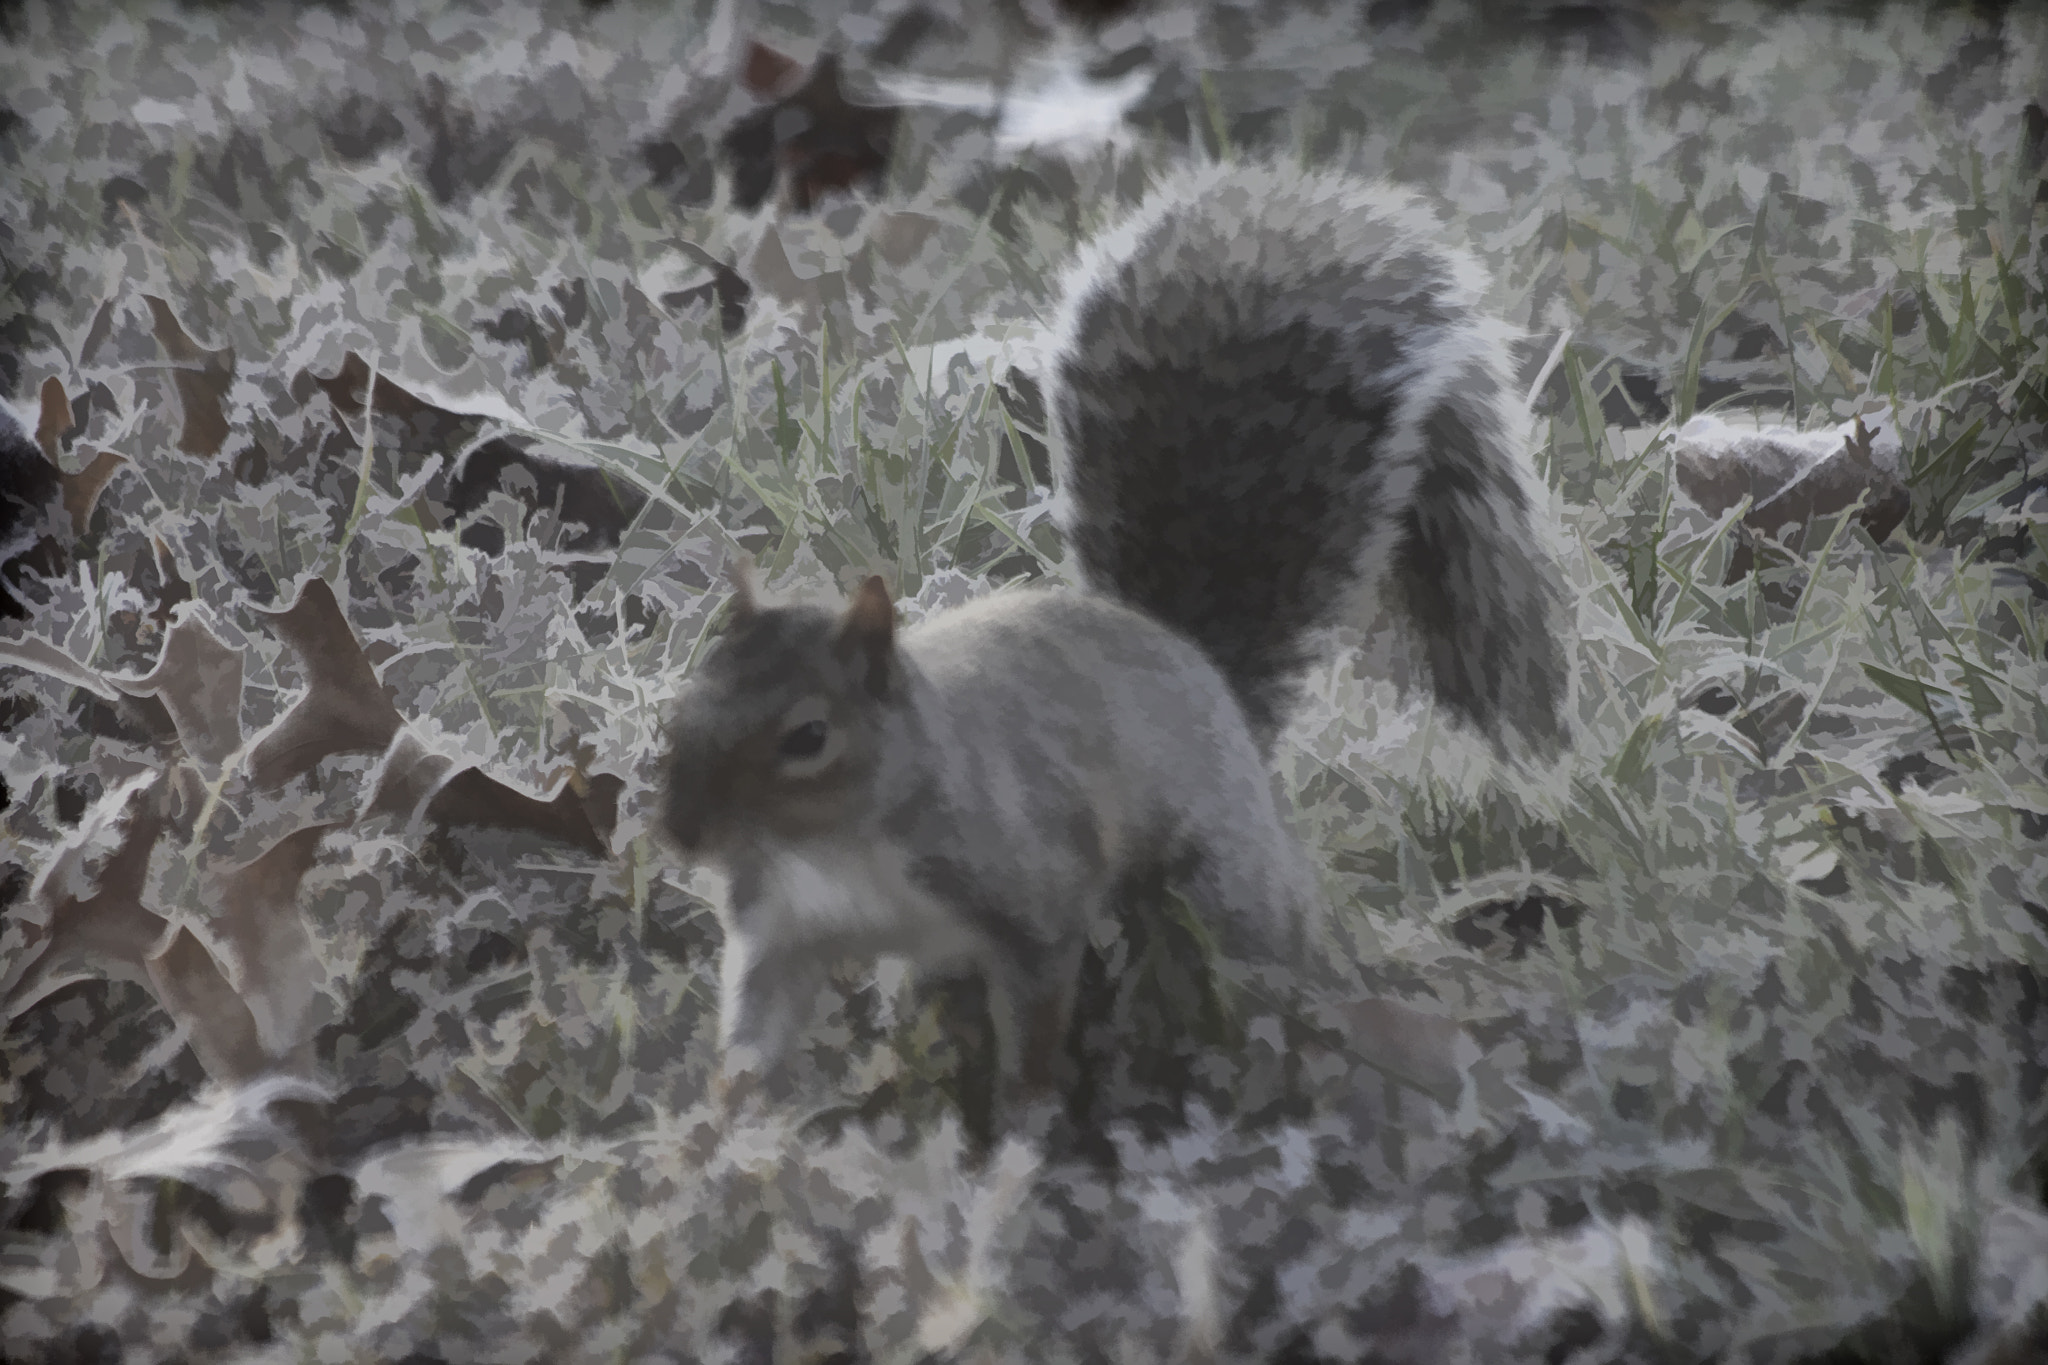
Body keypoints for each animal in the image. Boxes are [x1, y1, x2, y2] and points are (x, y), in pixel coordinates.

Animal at [659, 159, 1571, 1102]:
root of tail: (1192, 663)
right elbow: (757, 1026)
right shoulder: (779, 925)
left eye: (809, 736)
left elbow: (1036, 1013)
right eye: (676, 709)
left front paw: (1022, 1120)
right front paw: (726, 1118)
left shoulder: (1031, 890)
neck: (833, 851)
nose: (682, 833)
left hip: (1220, 883)